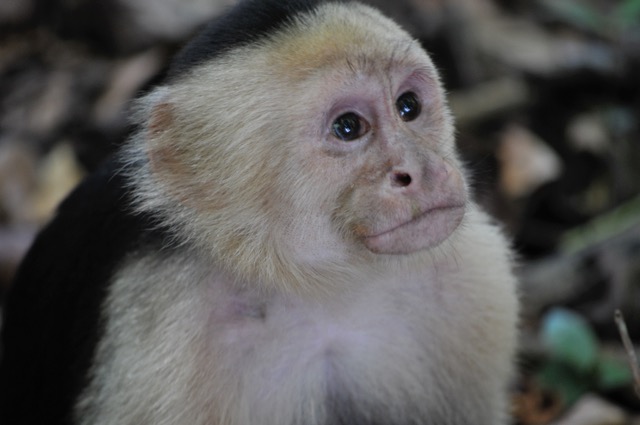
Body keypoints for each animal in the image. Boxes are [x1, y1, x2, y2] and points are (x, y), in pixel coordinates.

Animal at [0, 0, 520, 424]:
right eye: (348, 127)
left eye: (408, 106)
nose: (418, 169)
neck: (321, 291)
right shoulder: (159, 338)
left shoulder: (475, 282)